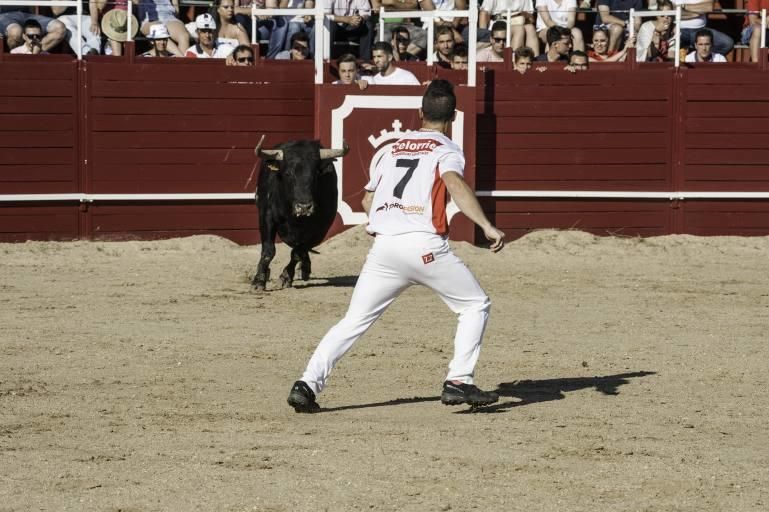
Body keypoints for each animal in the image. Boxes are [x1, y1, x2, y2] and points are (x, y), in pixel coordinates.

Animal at [252, 138, 348, 290]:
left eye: (315, 174)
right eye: (287, 174)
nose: (304, 207)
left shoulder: (319, 229)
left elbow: (297, 252)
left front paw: (286, 277)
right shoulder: (266, 217)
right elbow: (268, 250)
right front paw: (258, 281)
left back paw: (304, 269)